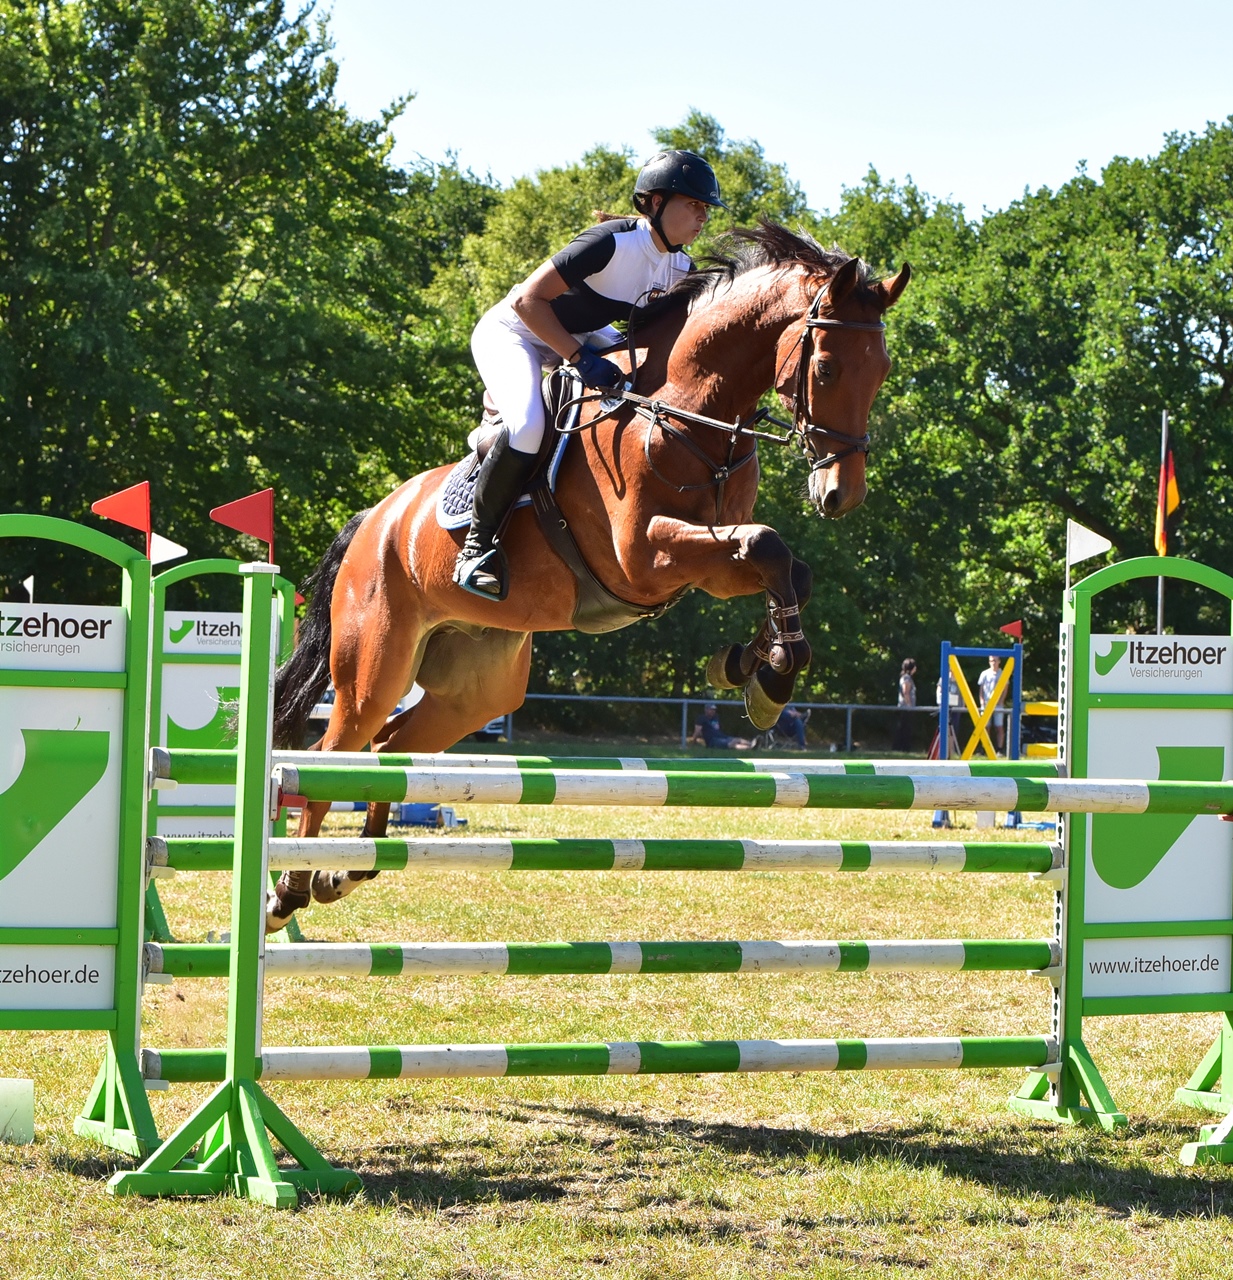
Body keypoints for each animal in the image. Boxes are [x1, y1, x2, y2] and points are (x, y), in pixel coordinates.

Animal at [267, 220, 909, 931]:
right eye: (825, 366)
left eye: (881, 370)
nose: (840, 495)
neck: (687, 411)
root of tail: (372, 521)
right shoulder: (644, 558)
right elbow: (768, 547)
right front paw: (767, 676)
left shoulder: (709, 561)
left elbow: (788, 568)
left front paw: (756, 666)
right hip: (374, 664)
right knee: (332, 756)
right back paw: (288, 889)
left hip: (475, 690)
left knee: (388, 752)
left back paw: (346, 870)